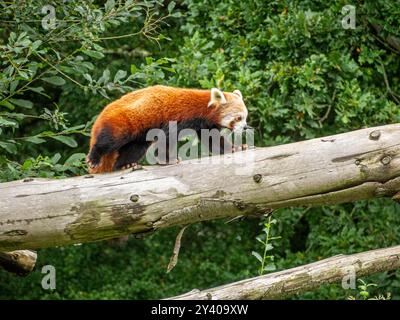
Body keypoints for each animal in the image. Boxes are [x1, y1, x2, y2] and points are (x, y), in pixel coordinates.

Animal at [86, 85, 250, 174]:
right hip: (122, 121)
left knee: (135, 148)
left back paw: (125, 164)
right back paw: (94, 157)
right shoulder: (178, 116)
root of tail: (101, 115)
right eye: (238, 118)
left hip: (139, 136)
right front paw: (169, 159)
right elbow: (166, 139)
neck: (202, 109)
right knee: (110, 139)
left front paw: (236, 148)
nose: (245, 127)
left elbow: (213, 139)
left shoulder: (205, 124)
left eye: (245, 117)